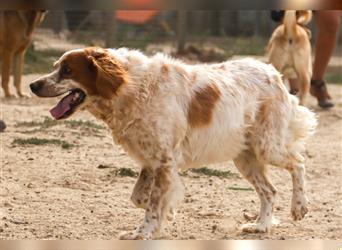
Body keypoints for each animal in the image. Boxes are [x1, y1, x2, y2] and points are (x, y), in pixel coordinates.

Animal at [28, 47, 316, 240]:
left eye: (67, 70)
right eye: (56, 66)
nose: (32, 85)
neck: (130, 88)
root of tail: (272, 72)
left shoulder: (164, 160)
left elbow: (153, 203)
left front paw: (143, 232)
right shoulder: (151, 158)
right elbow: (140, 197)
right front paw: (167, 214)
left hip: (268, 147)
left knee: (299, 163)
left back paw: (299, 207)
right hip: (245, 158)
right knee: (270, 191)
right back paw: (261, 225)